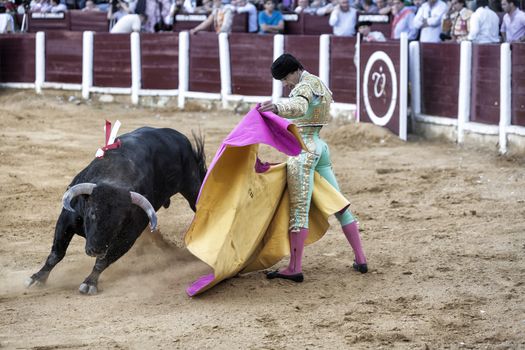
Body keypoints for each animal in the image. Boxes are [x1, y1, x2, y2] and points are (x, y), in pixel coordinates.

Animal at [25, 127, 205, 294]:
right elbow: (56, 254)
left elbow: (104, 261)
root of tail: (180, 137)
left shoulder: (128, 236)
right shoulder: (66, 219)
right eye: (92, 213)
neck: (115, 177)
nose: (95, 250)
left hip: (193, 187)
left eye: (119, 222)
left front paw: (90, 283)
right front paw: (37, 278)